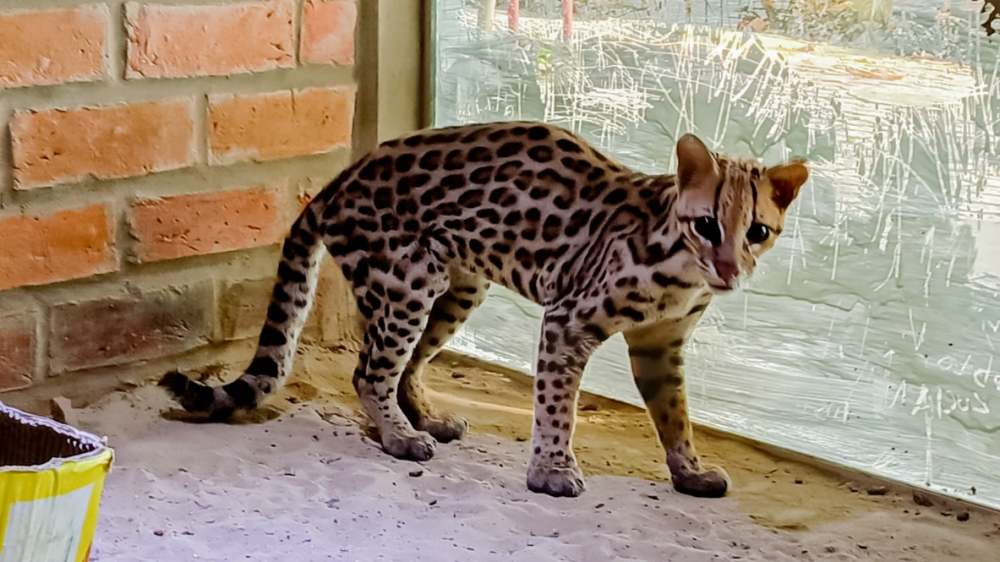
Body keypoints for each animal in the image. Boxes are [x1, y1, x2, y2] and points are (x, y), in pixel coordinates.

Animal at [160, 121, 808, 498]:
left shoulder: (660, 345)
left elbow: (677, 416)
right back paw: (397, 435)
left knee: (404, 365)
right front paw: (551, 470)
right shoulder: (567, 321)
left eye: (757, 231)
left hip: (458, 286)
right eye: (707, 224)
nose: (730, 270)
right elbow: (557, 408)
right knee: (369, 370)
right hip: (409, 279)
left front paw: (689, 469)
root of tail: (335, 183)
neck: (682, 269)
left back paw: (422, 418)